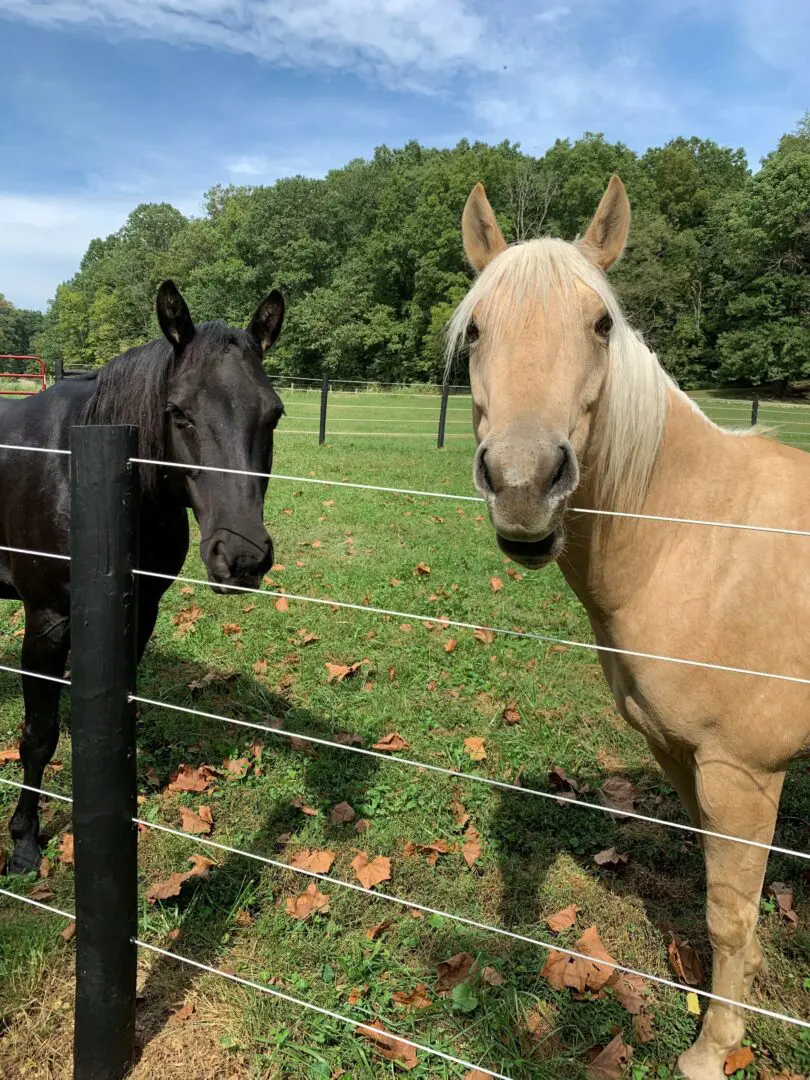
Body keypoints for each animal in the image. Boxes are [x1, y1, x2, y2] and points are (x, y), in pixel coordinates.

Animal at [0, 280, 287, 876]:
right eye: (178, 412)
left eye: (273, 414)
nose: (242, 557)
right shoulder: (47, 621)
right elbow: (38, 735)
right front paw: (24, 842)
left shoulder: (141, 613)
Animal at [451, 172, 810, 1075]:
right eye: (476, 329)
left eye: (601, 323)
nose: (523, 484)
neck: (700, 536)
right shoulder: (681, 757)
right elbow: (726, 900)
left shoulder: (745, 772)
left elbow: (729, 913)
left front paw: (712, 1048)